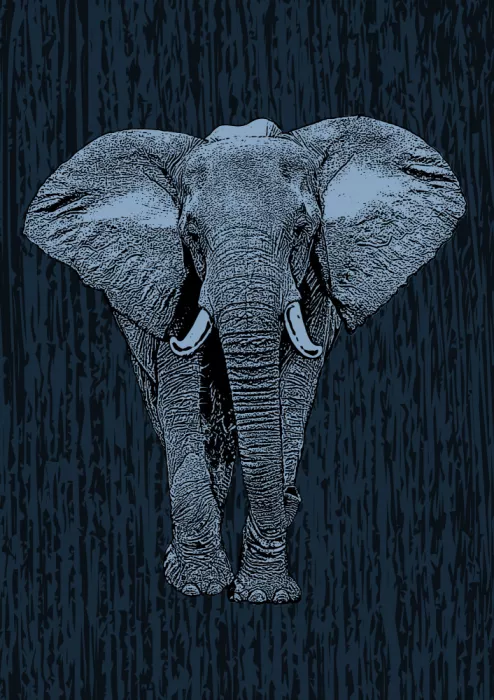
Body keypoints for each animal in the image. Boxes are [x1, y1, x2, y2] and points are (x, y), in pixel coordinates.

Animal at [23, 116, 465, 604]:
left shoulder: (316, 280)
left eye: (302, 229)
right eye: (192, 235)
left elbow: (291, 396)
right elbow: (183, 400)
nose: (293, 495)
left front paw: (265, 595)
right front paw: (197, 585)